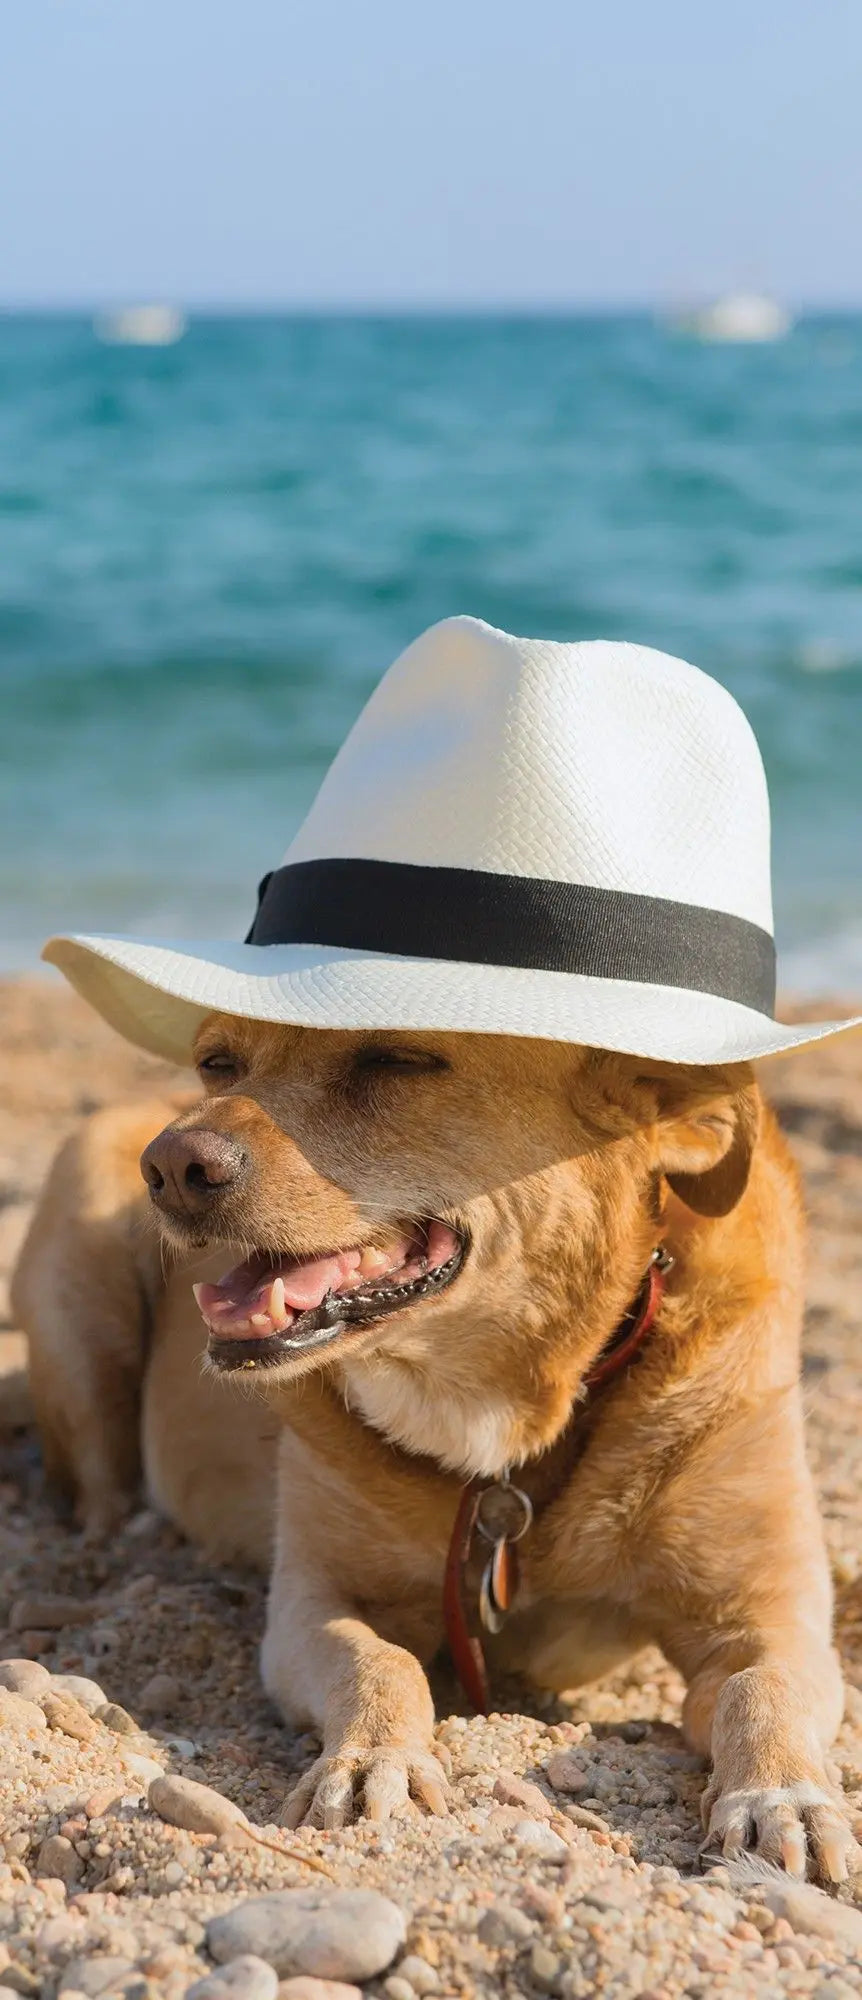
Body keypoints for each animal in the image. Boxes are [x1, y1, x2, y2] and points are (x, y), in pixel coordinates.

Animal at [11, 1016, 856, 1872]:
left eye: (398, 1060)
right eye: (217, 1064)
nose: (173, 1167)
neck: (507, 1426)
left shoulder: (766, 1622)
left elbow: (762, 1692)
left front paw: (782, 1795)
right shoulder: (315, 1602)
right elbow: (381, 1664)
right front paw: (371, 1760)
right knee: (100, 1493)